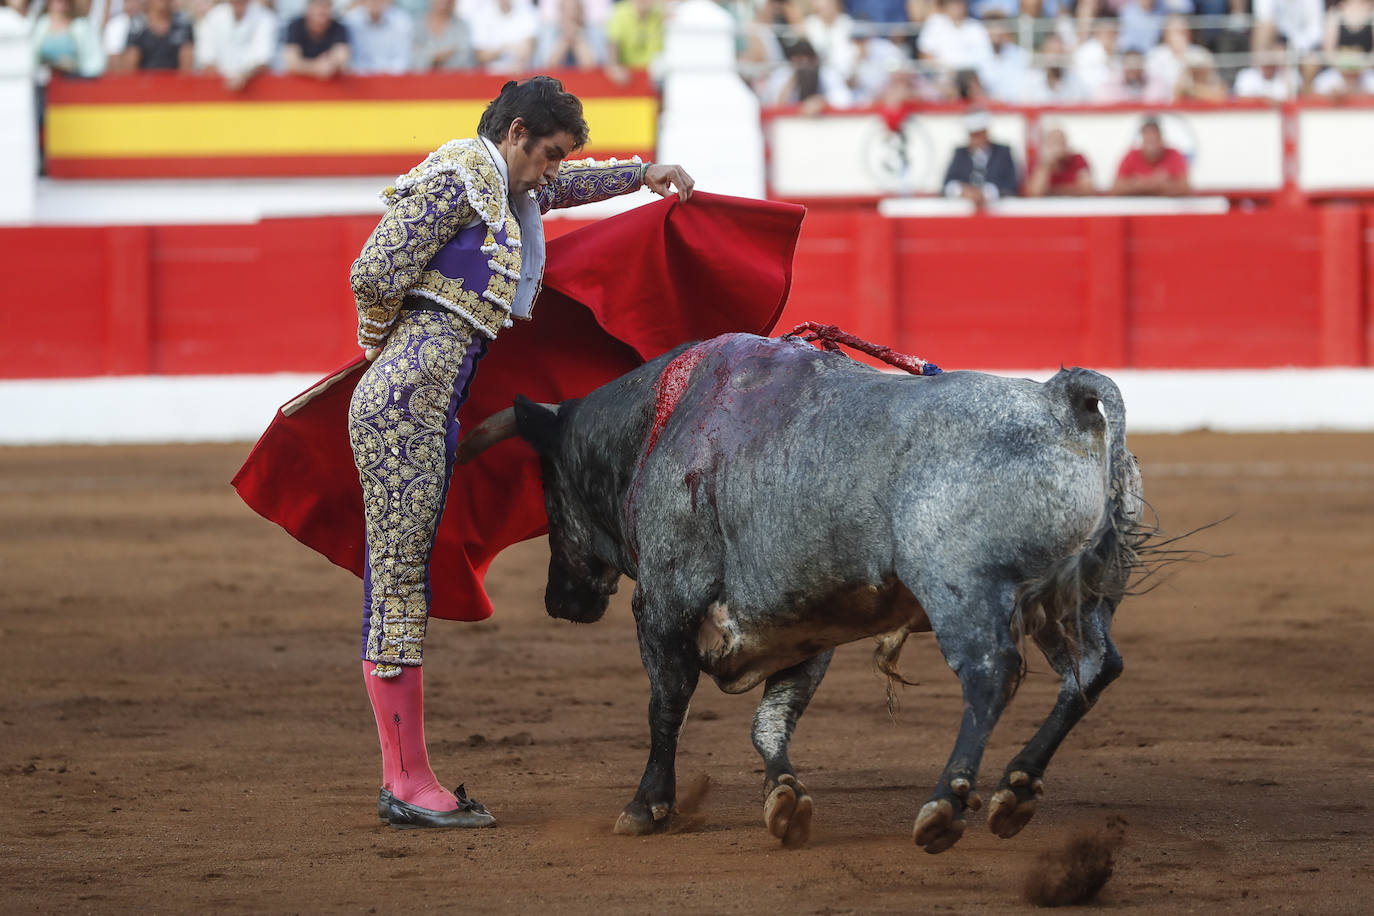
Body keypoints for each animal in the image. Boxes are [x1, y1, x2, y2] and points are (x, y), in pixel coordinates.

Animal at [456, 333, 1143, 856]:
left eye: (546, 486)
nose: (559, 600)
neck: (661, 422)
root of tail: (1060, 403)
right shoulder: (806, 627)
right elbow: (771, 721)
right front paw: (783, 800)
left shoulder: (666, 601)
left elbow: (666, 705)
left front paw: (647, 806)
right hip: (1062, 601)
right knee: (1091, 668)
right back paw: (1015, 790)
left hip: (963, 589)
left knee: (992, 673)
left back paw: (945, 805)